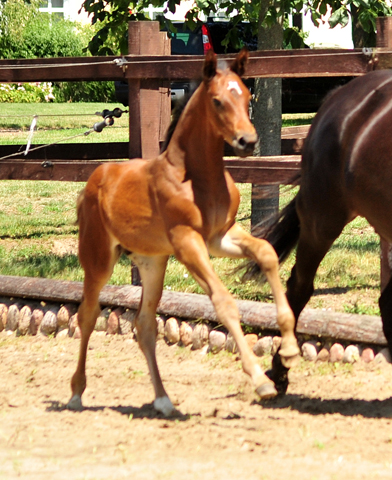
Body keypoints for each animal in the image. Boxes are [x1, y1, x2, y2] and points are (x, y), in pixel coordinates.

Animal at [68, 49, 300, 416]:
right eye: (218, 101)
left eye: (247, 97)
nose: (247, 141)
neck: (195, 176)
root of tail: (94, 180)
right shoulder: (188, 243)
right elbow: (223, 302)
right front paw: (261, 379)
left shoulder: (220, 237)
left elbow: (265, 252)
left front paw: (289, 349)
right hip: (99, 258)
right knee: (87, 315)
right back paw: (77, 393)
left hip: (152, 263)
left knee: (144, 325)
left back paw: (163, 400)